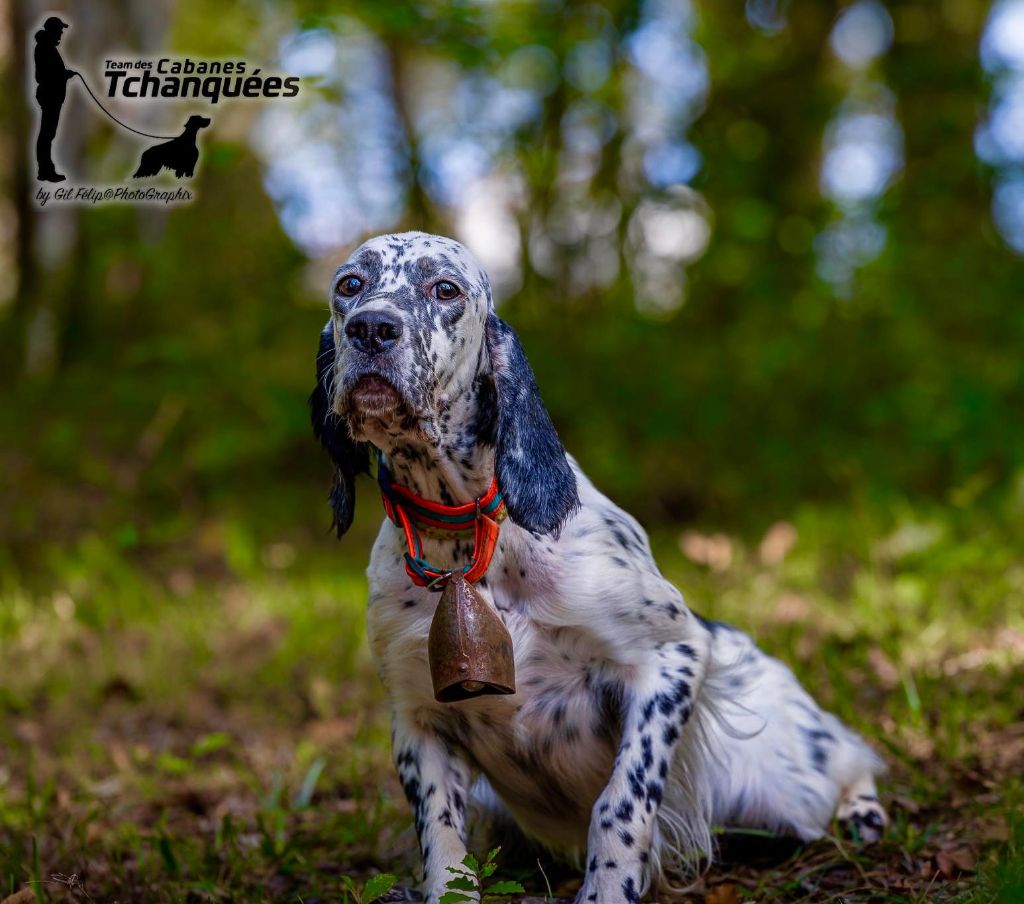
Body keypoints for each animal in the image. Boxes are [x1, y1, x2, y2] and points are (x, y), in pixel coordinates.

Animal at [311, 229, 888, 900]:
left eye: (445, 288)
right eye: (350, 285)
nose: (371, 329)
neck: (469, 545)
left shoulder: (671, 659)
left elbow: (620, 803)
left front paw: (609, 888)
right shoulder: (417, 717)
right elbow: (444, 847)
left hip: (784, 780)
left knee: (849, 755)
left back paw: (862, 810)